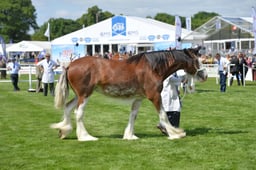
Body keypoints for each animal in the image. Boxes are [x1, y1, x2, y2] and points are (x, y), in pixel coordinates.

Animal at [51, 47, 207, 141]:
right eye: (197, 60)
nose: (204, 75)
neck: (153, 68)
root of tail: (69, 65)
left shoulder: (138, 99)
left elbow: (133, 116)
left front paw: (130, 136)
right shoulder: (155, 96)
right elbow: (163, 115)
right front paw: (176, 133)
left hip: (79, 95)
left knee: (67, 108)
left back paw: (63, 131)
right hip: (85, 95)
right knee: (78, 113)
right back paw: (85, 137)